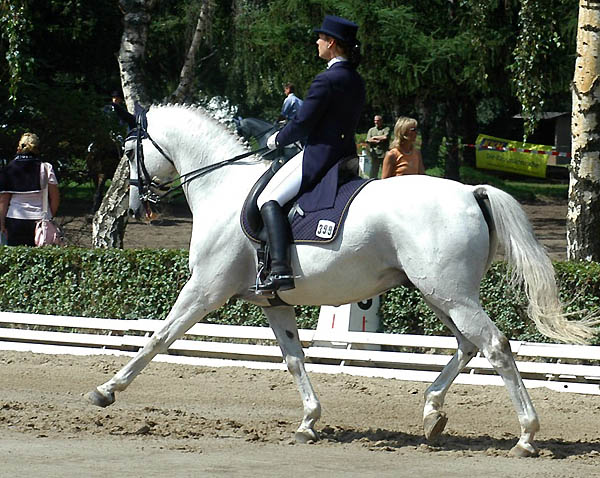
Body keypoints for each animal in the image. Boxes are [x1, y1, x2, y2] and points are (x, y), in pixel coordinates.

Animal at [86, 103, 596, 456]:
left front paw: (106, 390)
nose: (136, 206)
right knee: (468, 345)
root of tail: (472, 190)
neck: (222, 187)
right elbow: (294, 359)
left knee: (495, 346)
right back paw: (432, 411)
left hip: (451, 294)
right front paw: (309, 422)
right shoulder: (274, 303)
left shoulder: (203, 291)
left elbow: (158, 338)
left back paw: (525, 437)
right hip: (438, 293)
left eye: (129, 149)